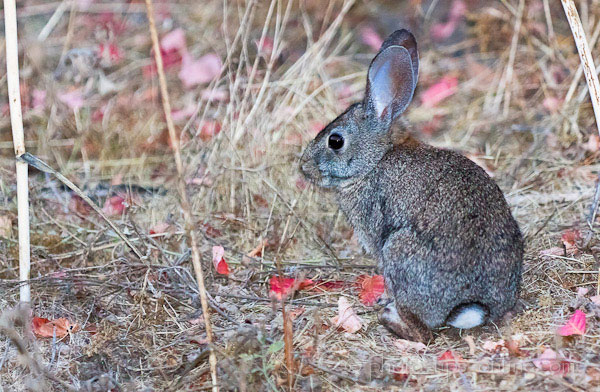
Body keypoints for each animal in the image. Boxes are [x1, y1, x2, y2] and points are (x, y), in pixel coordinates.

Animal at [298, 29, 520, 344]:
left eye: (335, 141)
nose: (304, 166)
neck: (377, 159)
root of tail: (473, 305)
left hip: (397, 251)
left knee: (423, 333)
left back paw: (390, 316)